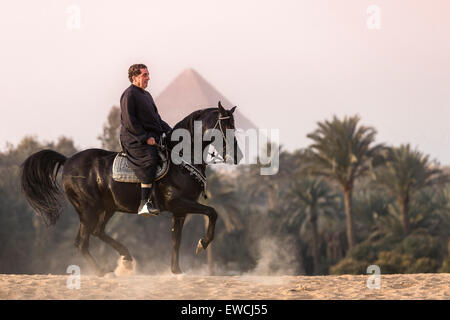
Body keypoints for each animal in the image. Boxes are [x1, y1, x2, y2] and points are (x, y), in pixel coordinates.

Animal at [20, 102, 243, 276]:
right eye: (225, 126)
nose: (237, 154)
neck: (181, 158)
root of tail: (67, 161)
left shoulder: (179, 211)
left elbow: (176, 240)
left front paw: (176, 271)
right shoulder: (179, 203)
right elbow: (212, 212)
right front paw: (203, 243)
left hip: (107, 208)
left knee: (97, 231)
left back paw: (125, 256)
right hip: (89, 209)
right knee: (82, 242)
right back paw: (103, 271)